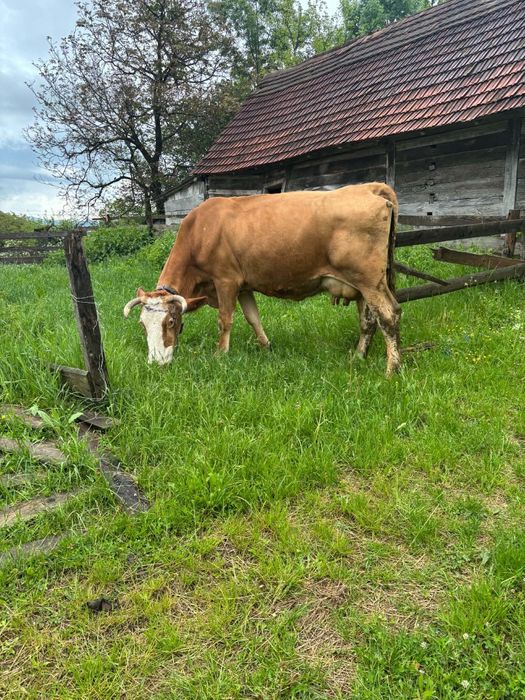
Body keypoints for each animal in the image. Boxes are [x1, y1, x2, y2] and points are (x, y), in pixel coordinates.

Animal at [123, 182, 401, 375]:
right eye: (142, 325)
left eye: (171, 322)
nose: (156, 362)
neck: (200, 231)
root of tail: (370, 188)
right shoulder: (244, 285)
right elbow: (253, 317)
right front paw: (266, 347)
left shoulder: (225, 281)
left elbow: (225, 319)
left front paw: (220, 354)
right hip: (363, 285)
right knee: (368, 321)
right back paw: (358, 357)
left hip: (370, 281)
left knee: (389, 315)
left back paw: (392, 369)